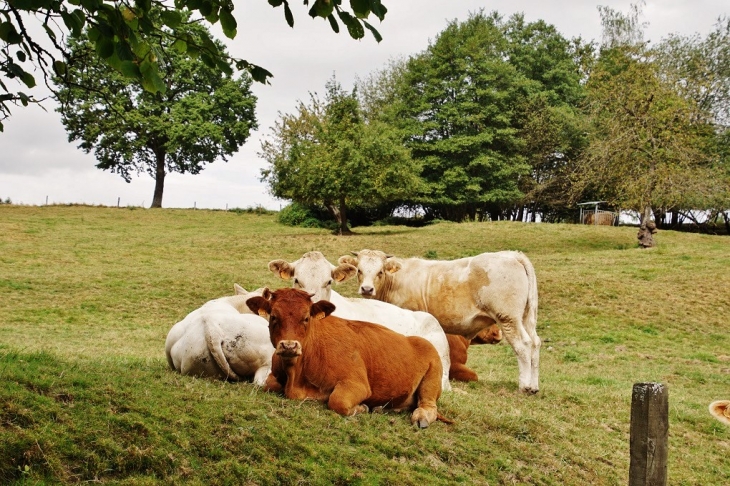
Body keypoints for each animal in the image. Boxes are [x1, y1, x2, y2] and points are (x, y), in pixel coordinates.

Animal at [246, 290, 450, 428]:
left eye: (306, 318)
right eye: (273, 316)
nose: (289, 346)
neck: (296, 376)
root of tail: (417, 340)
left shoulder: (357, 384)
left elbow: (338, 401)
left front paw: (362, 408)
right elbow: (269, 385)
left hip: (432, 379)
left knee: (428, 405)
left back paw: (420, 418)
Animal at [338, 249, 536, 392]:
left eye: (380, 272)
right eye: (360, 271)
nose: (367, 289)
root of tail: (512, 254)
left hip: (508, 317)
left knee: (523, 345)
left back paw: (525, 386)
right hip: (526, 318)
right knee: (535, 344)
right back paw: (534, 386)